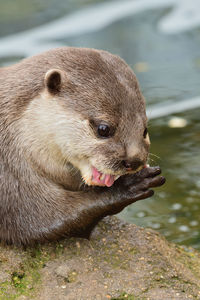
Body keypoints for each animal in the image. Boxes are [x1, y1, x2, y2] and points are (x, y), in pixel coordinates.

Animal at [0, 45, 166, 245]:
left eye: (144, 130)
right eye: (104, 129)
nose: (134, 161)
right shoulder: (10, 177)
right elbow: (40, 220)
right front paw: (128, 185)